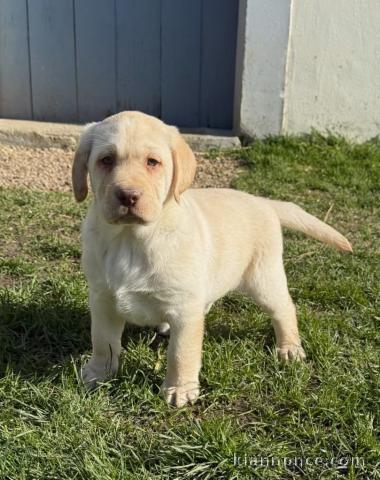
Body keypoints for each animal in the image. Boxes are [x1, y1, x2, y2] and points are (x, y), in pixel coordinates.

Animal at [71, 110, 350, 406]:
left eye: (152, 162)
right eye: (106, 160)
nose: (127, 195)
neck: (130, 239)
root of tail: (263, 201)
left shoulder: (184, 308)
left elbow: (181, 352)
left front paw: (180, 389)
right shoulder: (103, 298)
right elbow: (103, 341)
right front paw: (98, 373)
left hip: (264, 278)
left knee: (285, 309)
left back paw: (290, 348)